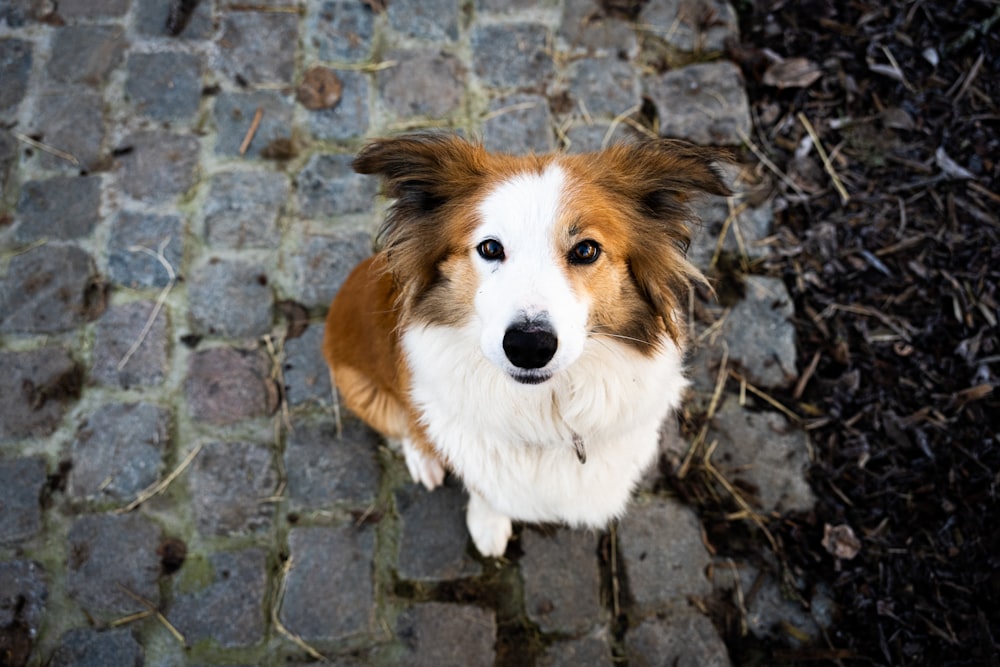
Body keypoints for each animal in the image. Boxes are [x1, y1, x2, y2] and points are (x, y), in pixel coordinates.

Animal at [324, 133, 732, 556]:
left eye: (586, 250)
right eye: (490, 248)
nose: (529, 347)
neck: (545, 410)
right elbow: (483, 486)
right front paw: (488, 524)